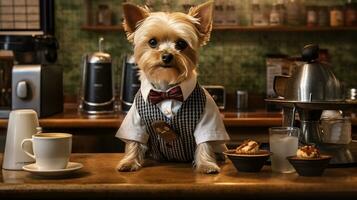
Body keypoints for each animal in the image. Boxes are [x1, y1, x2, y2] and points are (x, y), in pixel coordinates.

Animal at [115, 0, 229, 173]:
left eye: (181, 44)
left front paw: (207, 165)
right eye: (152, 42)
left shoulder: (207, 115)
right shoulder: (135, 118)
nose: (167, 56)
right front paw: (129, 162)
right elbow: (134, 141)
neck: (166, 89)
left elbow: (205, 143)